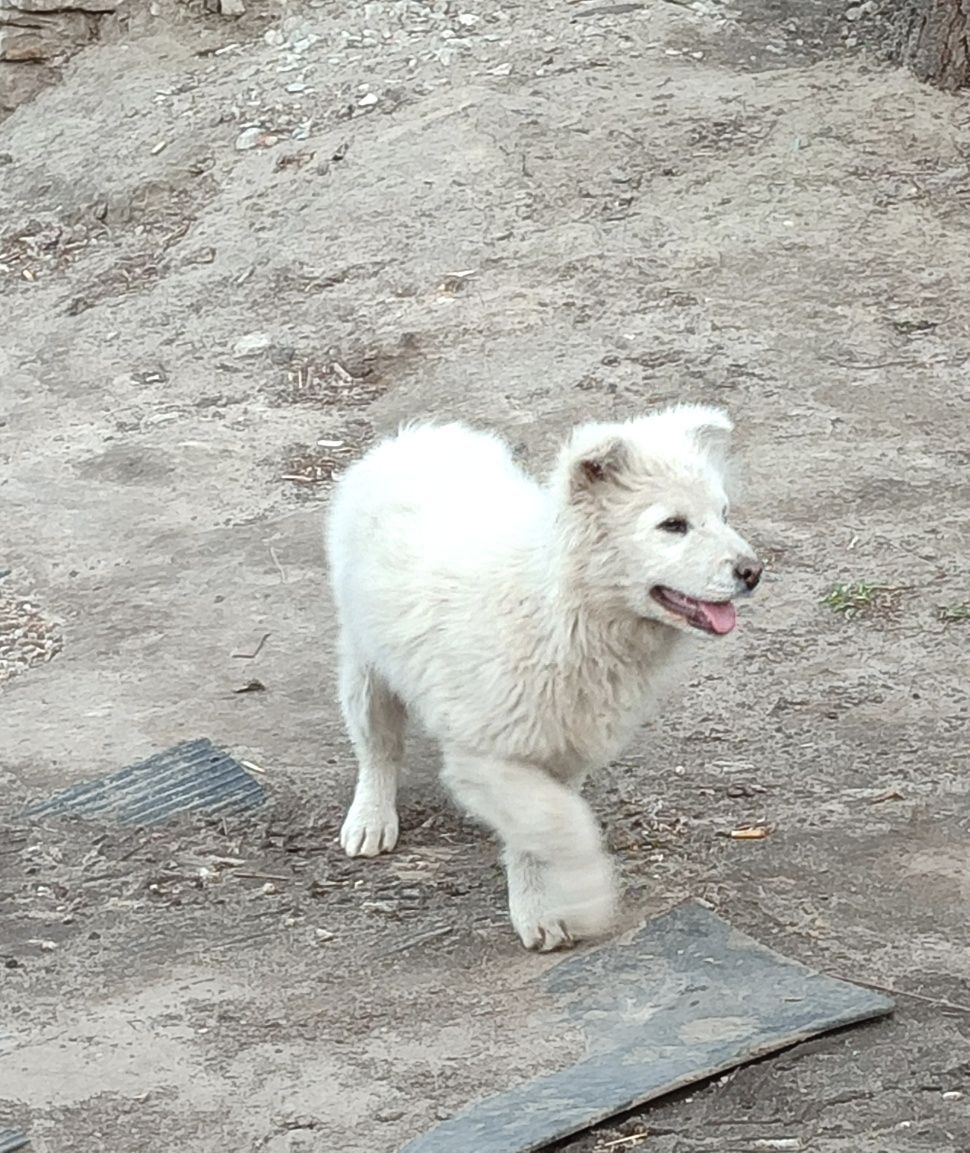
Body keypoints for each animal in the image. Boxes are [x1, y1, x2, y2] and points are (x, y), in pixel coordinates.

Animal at [329, 410, 761, 950]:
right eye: (673, 526)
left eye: (723, 514)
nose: (753, 571)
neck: (561, 608)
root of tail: (414, 438)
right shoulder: (486, 751)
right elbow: (560, 822)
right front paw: (584, 894)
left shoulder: (562, 747)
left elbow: (538, 830)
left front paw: (542, 907)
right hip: (364, 660)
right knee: (377, 747)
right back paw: (370, 819)